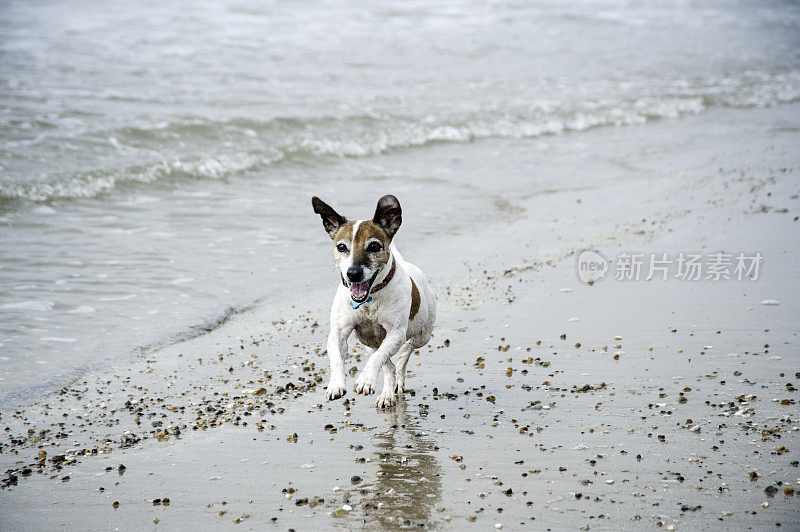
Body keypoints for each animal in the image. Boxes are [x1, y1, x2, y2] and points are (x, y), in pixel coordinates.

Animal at [312, 195, 438, 408]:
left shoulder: (395, 333)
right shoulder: (339, 332)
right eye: (341, 247)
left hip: (423, 335)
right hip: (367, 341)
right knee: (388, 363)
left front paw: (365, 380)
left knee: (404, 352)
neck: (369, 300)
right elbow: (338, 358)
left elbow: (379, 358)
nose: (353, 273)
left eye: (374, 246)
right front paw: (336, 384)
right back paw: (388, 392)